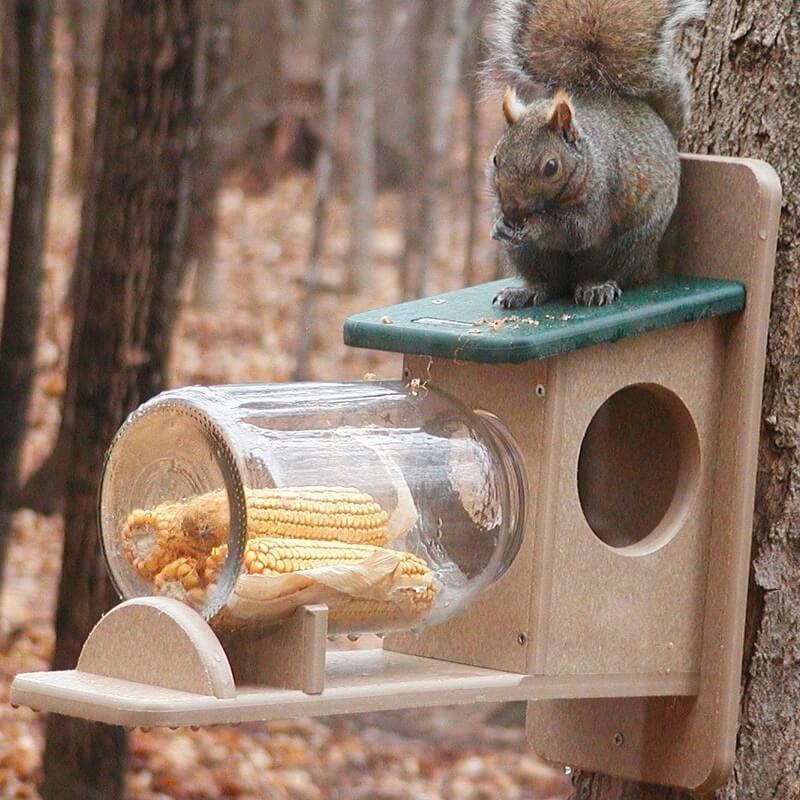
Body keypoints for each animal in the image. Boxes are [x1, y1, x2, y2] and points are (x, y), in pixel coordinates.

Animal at [488, 0, 708, 310]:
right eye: (495, 159)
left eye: (551, 167)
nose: (512, 212)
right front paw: (499, 225)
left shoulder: (600, 194)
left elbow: (577, 230)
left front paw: (535, 225)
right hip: (529, 256)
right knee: (548, 282)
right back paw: (525, 291)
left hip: (624, 246)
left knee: (600, 272)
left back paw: (596, 287)